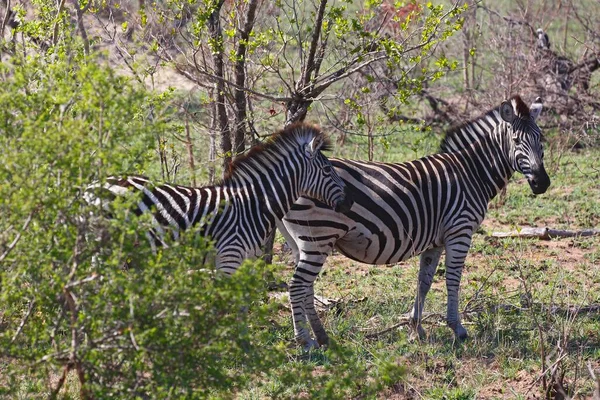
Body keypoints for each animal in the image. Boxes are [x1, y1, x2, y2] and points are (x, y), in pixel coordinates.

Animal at [86, 124, 354, 276]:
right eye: (327, 170)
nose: (350, 203)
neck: (253, 205)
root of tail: (91, 188)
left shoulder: (237, 260)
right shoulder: (230, 256)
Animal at [278, 95, 552, 348]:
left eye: (541, 139)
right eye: (516, 141)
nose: (542, 183)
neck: (471, 174)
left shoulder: (436, 241)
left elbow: (425, 281)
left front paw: (415, 329)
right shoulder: (460, 231)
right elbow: (453, 279)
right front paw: (457, 328)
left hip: (302, 241)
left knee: (306, 288)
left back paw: (322, 337)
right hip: (318, 236)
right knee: (298, 287)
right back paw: (306, 342)